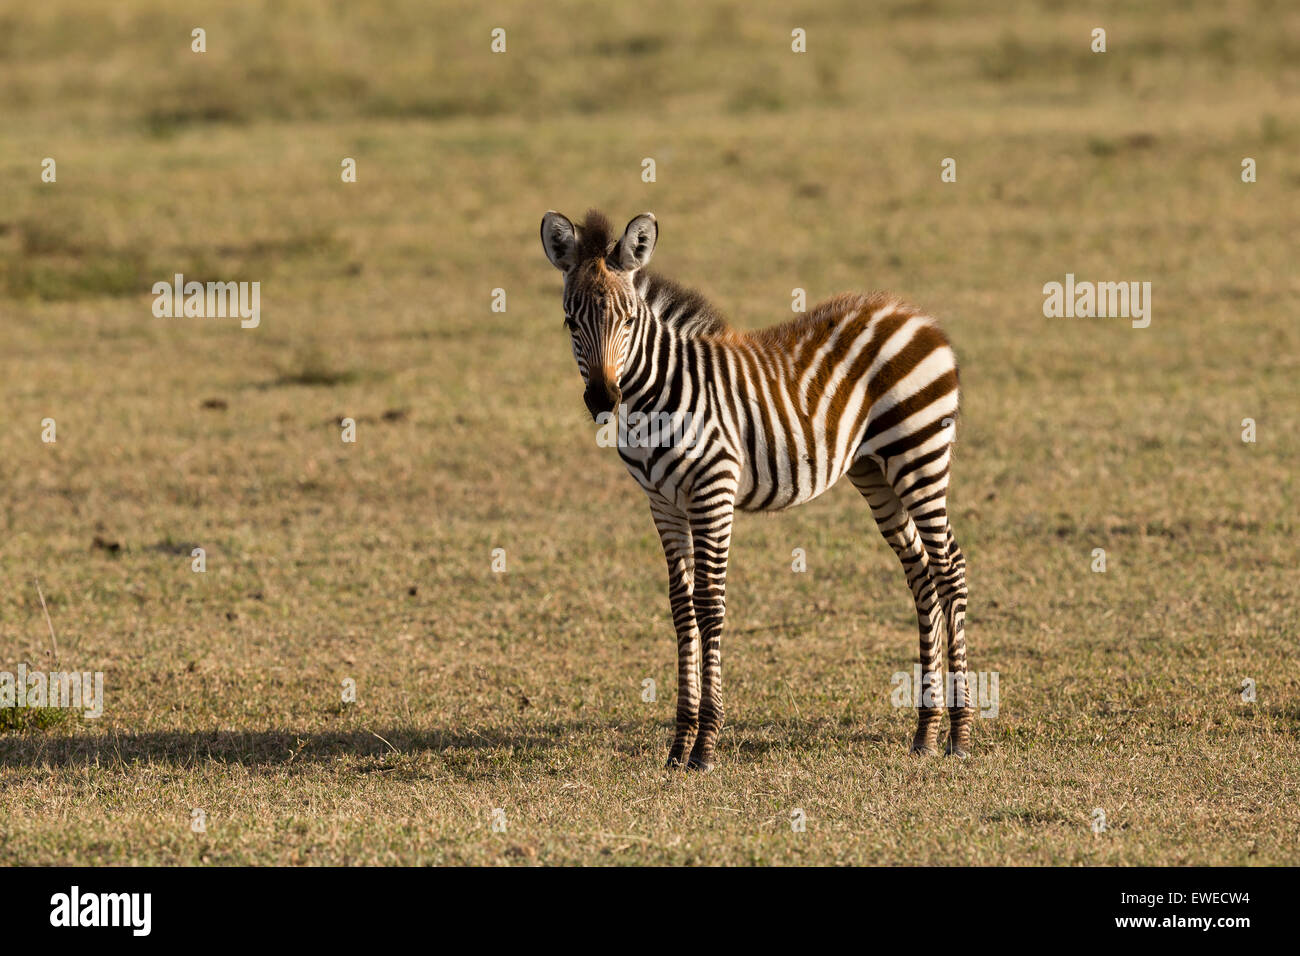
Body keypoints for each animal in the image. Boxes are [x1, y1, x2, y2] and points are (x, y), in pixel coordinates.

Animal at [533, 208, 972, 770]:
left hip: (919, 455)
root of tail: (915, 315)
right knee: (920, 572)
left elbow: (709, 603)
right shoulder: (662, 503)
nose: (603, 399)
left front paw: (704, 745)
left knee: (950, 568)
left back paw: (960, 733)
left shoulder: (713, 491)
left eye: (628, 321)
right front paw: (678, 743)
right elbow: (681, 607)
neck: (655, 398)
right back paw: (926, 731)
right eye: (571, 322)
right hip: (876, 469)